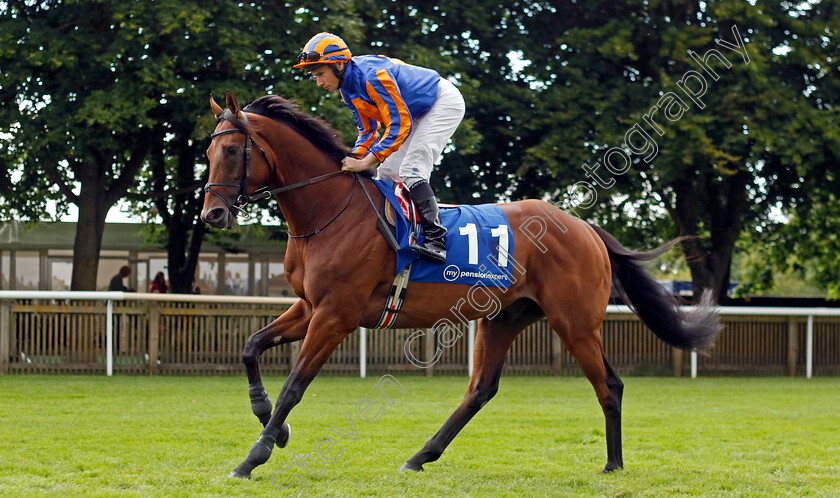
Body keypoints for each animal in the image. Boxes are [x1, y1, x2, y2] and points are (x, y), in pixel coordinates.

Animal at [200, 91, 720, 480]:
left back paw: (613, 464)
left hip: (574, 322)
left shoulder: (336, 315)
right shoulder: (310, 306)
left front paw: (252, 458)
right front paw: (270, 422)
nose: (213, 214)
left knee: (609, 384)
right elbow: (250, 346)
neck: (330, 210)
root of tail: (584, 227)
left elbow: (295, 385)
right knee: (480, 390)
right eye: (207, 152)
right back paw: (419, 456)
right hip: (503, 318)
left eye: (232, 151)